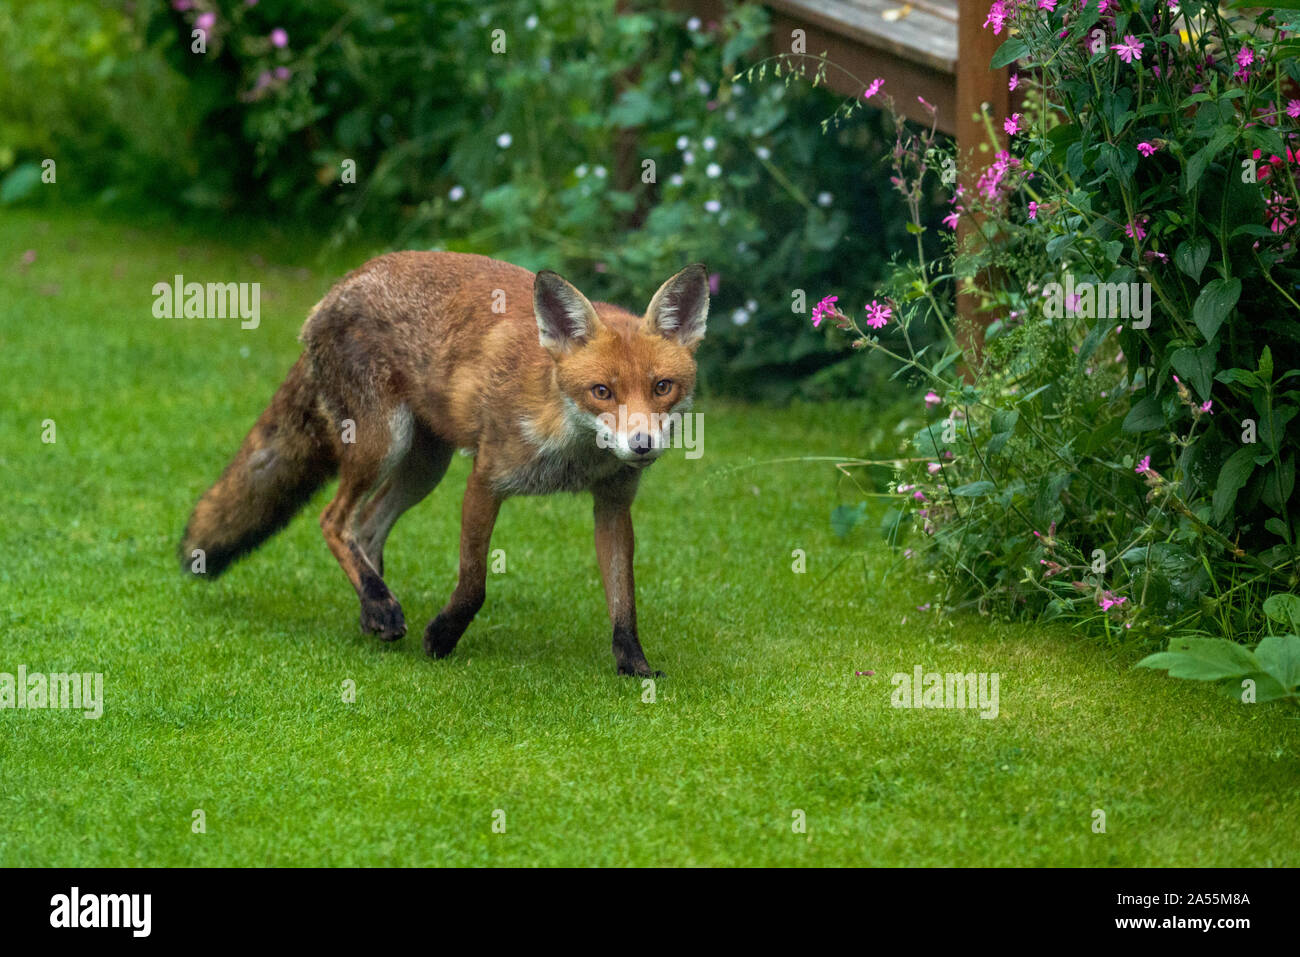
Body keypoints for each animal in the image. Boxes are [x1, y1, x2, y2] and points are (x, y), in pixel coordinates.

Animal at [176, 250, 707, 676]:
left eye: (662, 387)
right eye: (602, 391)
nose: (642, 445)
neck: (573, 448)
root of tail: (342, 284)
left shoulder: (613, 503)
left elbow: (624, 600)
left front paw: (634, 666)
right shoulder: (486, 480)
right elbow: (473, 583)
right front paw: (442, 638)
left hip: (424, 467)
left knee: (366, 526)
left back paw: (373, 605)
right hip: (383, 443)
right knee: (333, 520)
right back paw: (381, 606)